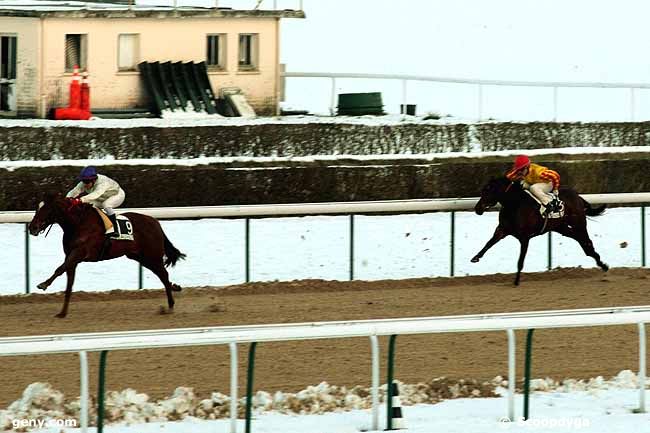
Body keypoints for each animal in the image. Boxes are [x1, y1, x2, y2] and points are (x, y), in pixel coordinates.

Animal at [28, 194, 185, 316]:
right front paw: (62, 313)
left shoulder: (79, 252)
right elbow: (69, 283)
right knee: (162, 275)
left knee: (163, 274)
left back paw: (170, 305)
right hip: (140, 257)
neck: (78, 224)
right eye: (37, 208)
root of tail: (155, 222)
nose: (32, 227)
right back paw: (174, 287)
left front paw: (43, 284)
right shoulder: (71, 257)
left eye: (47, 209)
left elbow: (60, 269)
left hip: (152, 255)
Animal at [468, 177, 604, 286]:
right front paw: (475, 257)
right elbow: (489, 243)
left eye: (488, 190)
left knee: (587, 240)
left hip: (578, 223)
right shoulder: (502, 229)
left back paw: (601, 262)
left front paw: (516, 281)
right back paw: (600, 261)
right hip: (561, 227)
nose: (477, 209)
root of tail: (578, 196)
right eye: (483, 190)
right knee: (580, 240)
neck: (515, 204)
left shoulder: (524, 238)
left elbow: (520, 261)